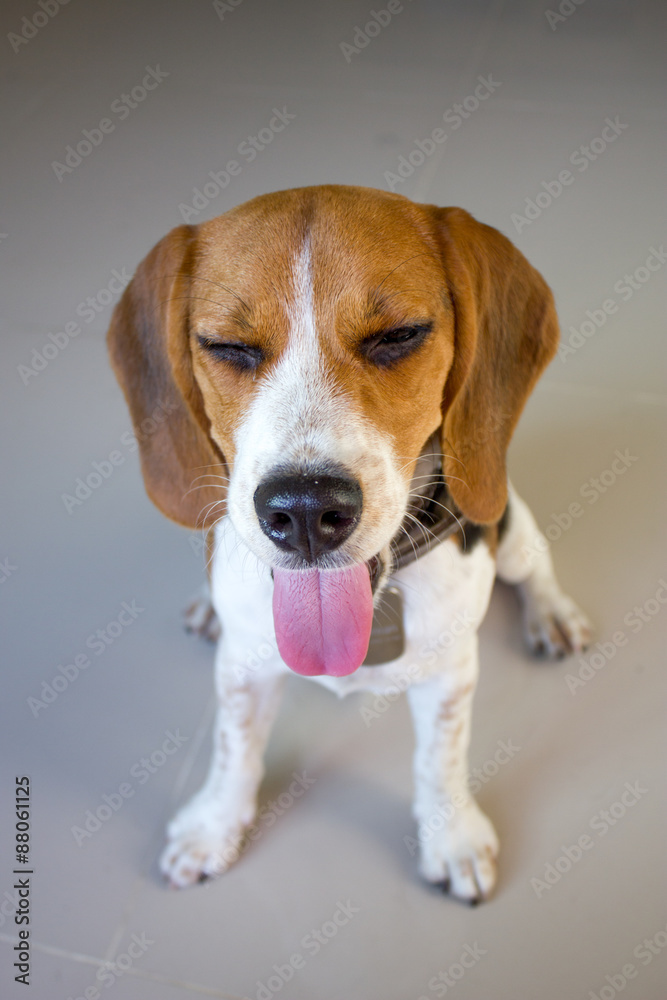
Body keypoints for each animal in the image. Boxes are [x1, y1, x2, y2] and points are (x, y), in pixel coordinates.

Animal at [107, 184, 592, 904]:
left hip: (509, 527)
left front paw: (450, 837)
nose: (307, 509)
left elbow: (440, 759)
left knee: (534, 566)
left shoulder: (450, 672)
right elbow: (234, 748)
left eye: (398, 337)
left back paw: (552, 614)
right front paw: (214, 827)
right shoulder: (243, 667)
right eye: (228, 346)